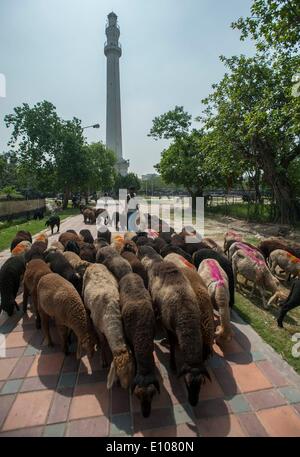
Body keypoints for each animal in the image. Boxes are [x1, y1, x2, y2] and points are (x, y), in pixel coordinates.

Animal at [146, 260, 210, 406]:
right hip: (151, 292)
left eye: (201, 383)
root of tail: (159, 261)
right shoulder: (170, 328)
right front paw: (172, 364)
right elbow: (172, 346)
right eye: (186, 384)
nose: (193, 403)